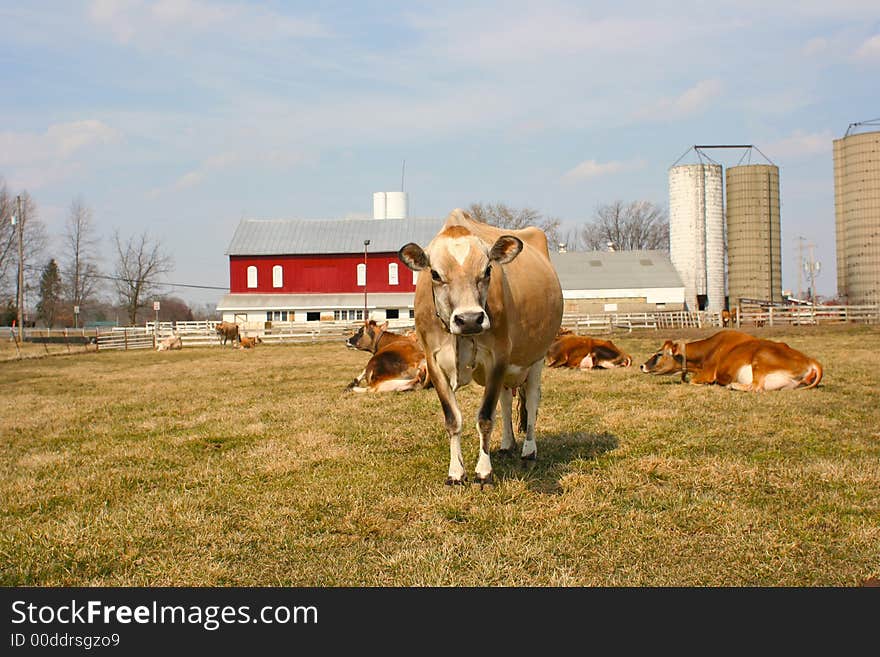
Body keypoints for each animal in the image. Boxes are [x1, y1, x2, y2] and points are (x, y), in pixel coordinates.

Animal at [398, 208, 564, 484]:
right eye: (435, 274)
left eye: (487, 270)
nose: (469, 319)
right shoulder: (434, 362)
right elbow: (453, 419)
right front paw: (456, 472)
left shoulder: (498, 356)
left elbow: (485, 417)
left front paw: (483, 471)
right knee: (506, 401)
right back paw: (507, 444)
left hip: (537, 356)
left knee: (531, 400)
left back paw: (529, 450)